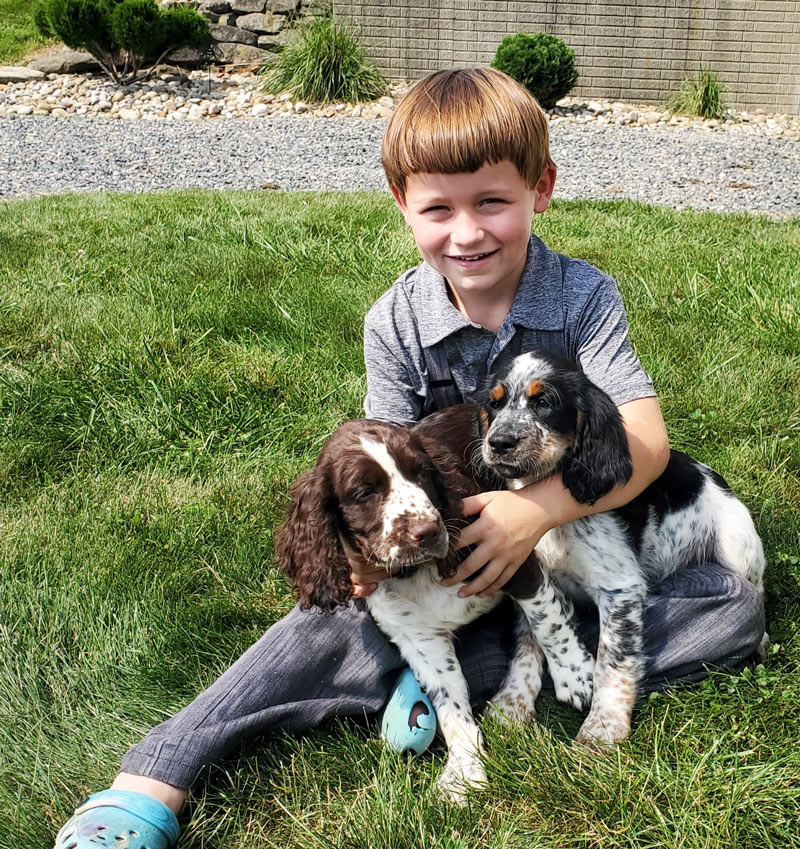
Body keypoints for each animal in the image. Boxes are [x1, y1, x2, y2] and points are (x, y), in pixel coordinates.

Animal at [478, 352, 764, 748]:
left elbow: (612, 659)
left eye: (545, 402)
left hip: (737, 545)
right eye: (495, 403)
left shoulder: (620, 589)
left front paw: (603, 727)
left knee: (757, 593)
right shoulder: (526, 571)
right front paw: (511, 703)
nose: (499, 442)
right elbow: (530, 638)